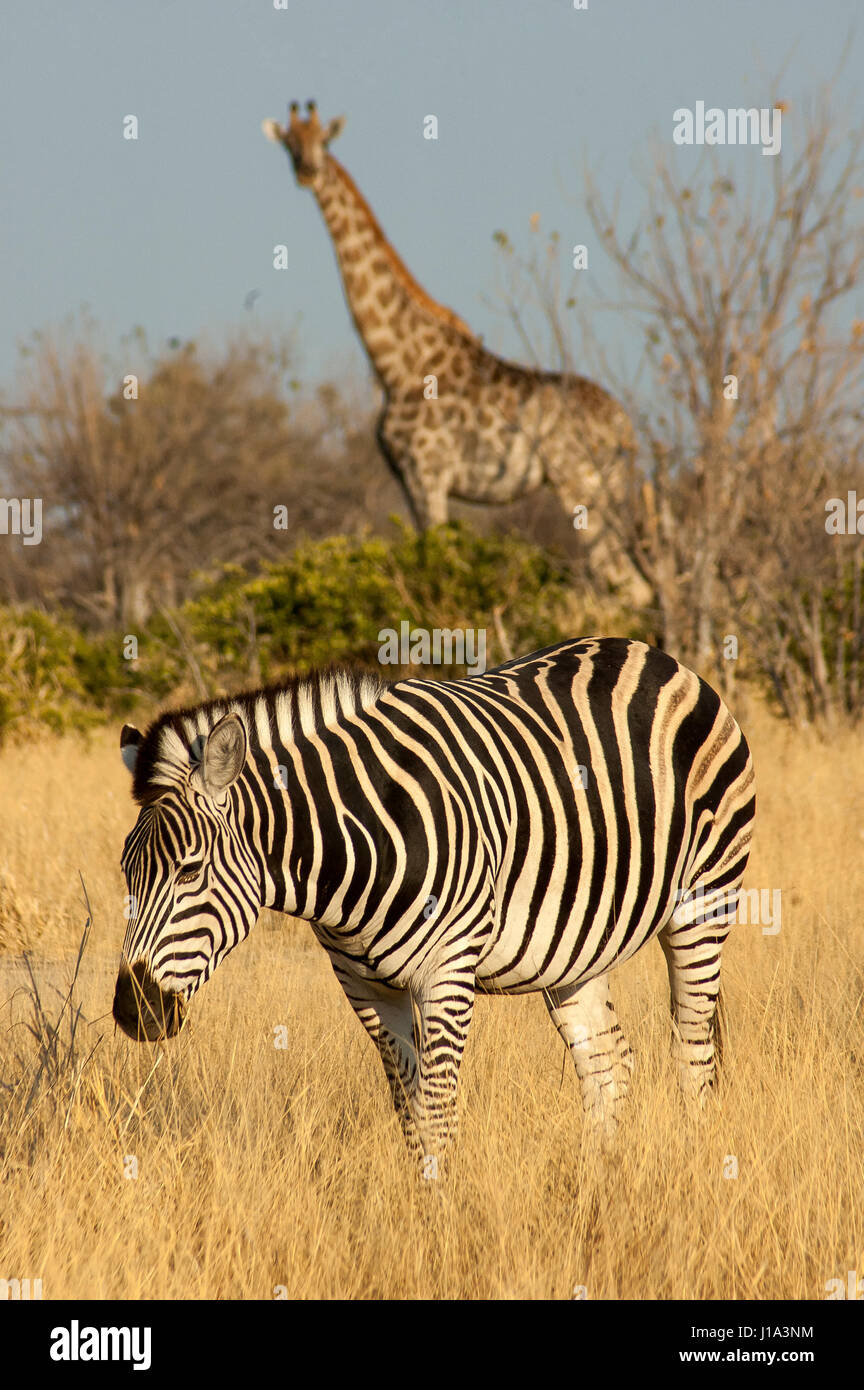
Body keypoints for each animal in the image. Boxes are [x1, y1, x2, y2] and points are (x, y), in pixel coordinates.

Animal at [113, 637, 755, 1164]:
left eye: (191, 870)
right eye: (127, 873)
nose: (132, 1012)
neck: (352, 851)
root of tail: (652, 653)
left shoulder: (446, 971)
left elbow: (439, 1112)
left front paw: (442, 1222)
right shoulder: (365, 987)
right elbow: (410, 1113)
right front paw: (418, 1213)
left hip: (704, 904)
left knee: (693, 1055)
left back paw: (694, 1172)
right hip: (576, 945)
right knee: (608, 1065)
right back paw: (594, 1188)